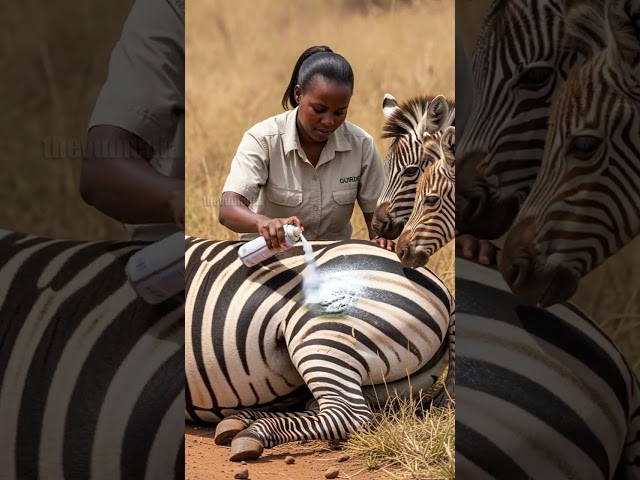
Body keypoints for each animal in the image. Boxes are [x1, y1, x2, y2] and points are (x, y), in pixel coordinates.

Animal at [184, 237, 455, 461]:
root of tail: (444, 290)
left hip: (322, 336)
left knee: (348, 414)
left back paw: (253, 433)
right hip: (395, 383)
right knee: (323, 406)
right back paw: (240, 421)